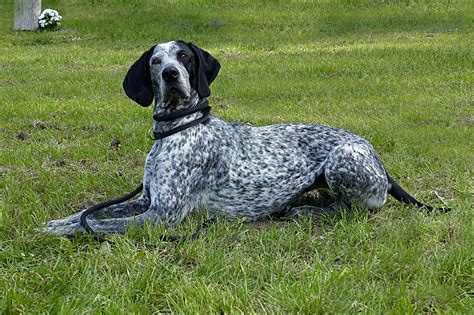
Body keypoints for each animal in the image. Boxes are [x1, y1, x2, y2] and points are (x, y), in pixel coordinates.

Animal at [42, 40, 450, 236]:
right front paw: (57, 222)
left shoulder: (162, 216)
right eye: (156, 61)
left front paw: (55, 232)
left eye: (184, 57)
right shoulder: (145, 202)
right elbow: (89, 214)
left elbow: (98, 224)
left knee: (358, 208)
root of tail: (377, 157)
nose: (171, 75)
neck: (179, 128)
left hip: (342, 158)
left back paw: (305, 210)